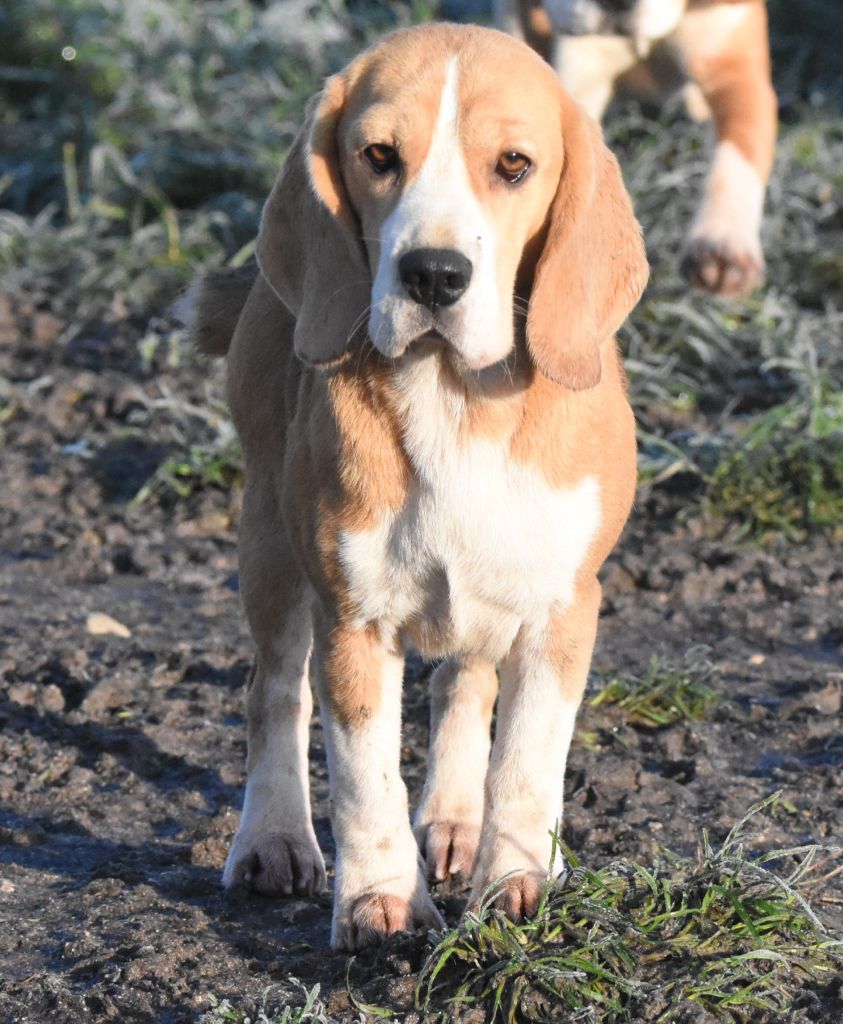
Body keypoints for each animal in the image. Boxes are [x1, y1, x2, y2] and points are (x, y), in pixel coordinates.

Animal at [191, 22, 651, 950]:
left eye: (513, 165)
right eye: (377, 155)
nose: (433, 275)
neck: (453, 396)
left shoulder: (561, 610)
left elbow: (526, 760)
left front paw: (514, 882)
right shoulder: (352, 619)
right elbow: (363, 775)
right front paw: (381, 902)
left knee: (461, 684)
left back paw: (455, 820)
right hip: (269, 545)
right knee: (274, 693)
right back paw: (273, 839)